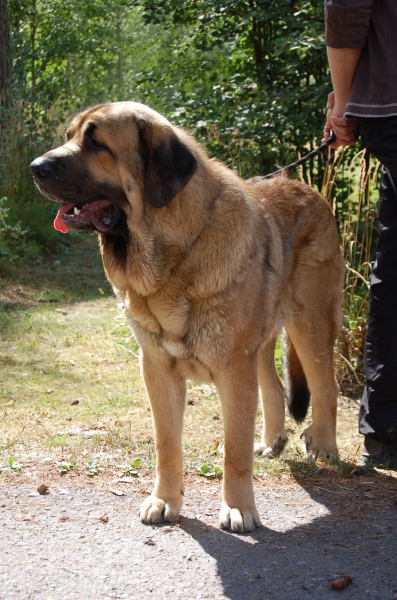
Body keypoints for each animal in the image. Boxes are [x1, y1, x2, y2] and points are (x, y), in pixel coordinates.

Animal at [30, 101, 344, 532]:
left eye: (96, 143)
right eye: (69, 136)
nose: (35, 167)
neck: (176, 253)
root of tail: (309, 190)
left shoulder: (233, 369)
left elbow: (234, 449)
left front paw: (238, 508)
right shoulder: (158, 369)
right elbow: (167, 444)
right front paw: (165, 501)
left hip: (310, 324)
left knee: (326, 386)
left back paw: (325, 447)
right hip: (263, 342)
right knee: (275, 385)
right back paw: (270, 442)